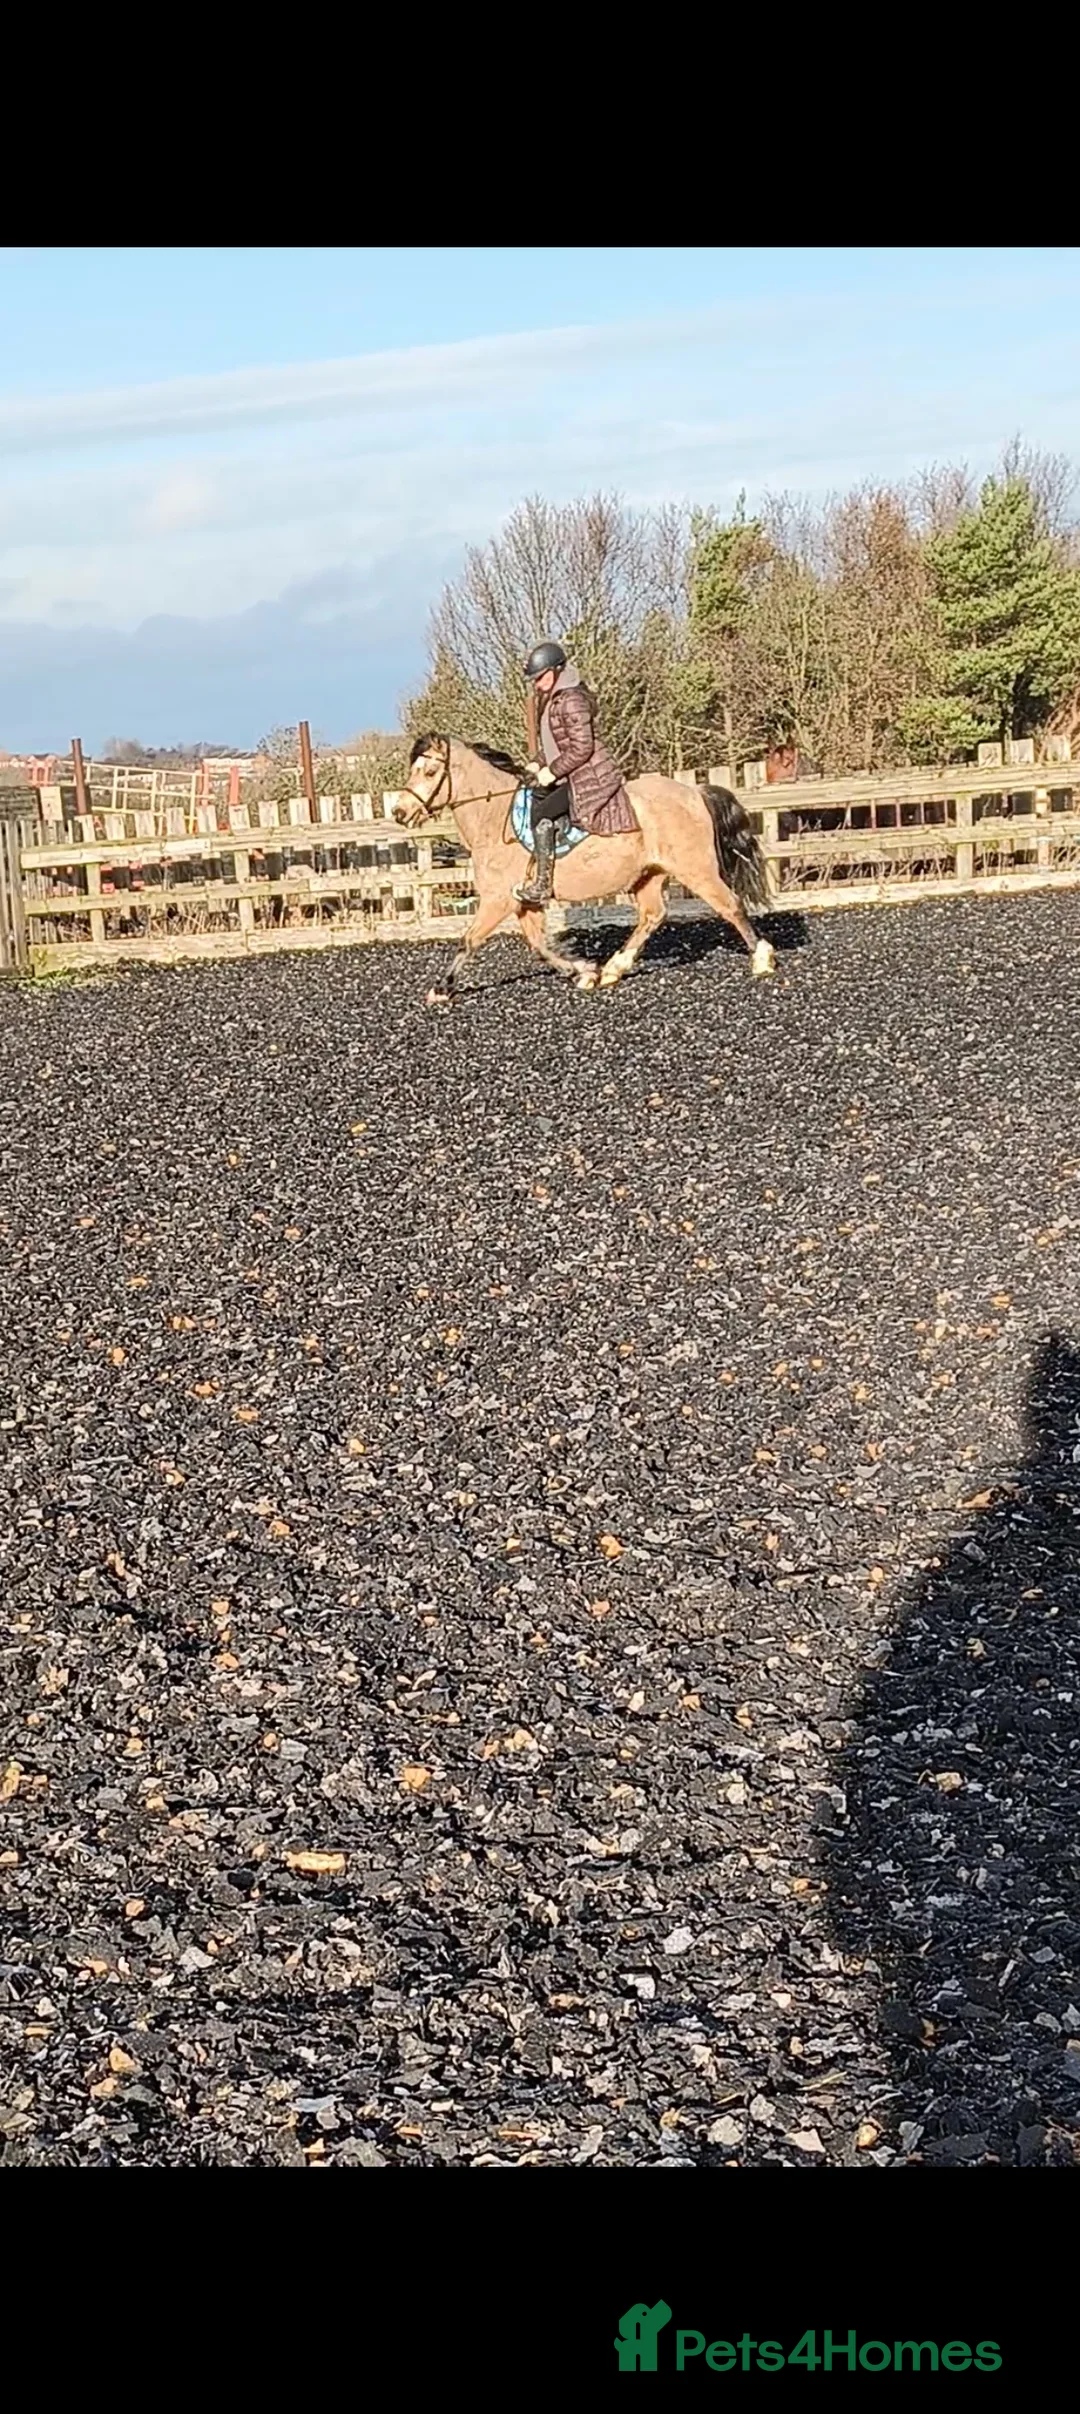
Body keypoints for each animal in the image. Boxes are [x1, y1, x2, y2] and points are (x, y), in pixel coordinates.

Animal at [394, 735, 778, 1005]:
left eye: (430, 772)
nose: (400, 812)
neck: (494, 817)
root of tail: (693, 791)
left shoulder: (497, 900)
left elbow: (468, 941)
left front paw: (441, 989)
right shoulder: (524, 902)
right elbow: (540, 944)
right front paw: (584, 971)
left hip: (696, 869)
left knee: (730, 905)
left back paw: (762, 960)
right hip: (648, 875)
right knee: (653, 915)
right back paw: (613, 968)